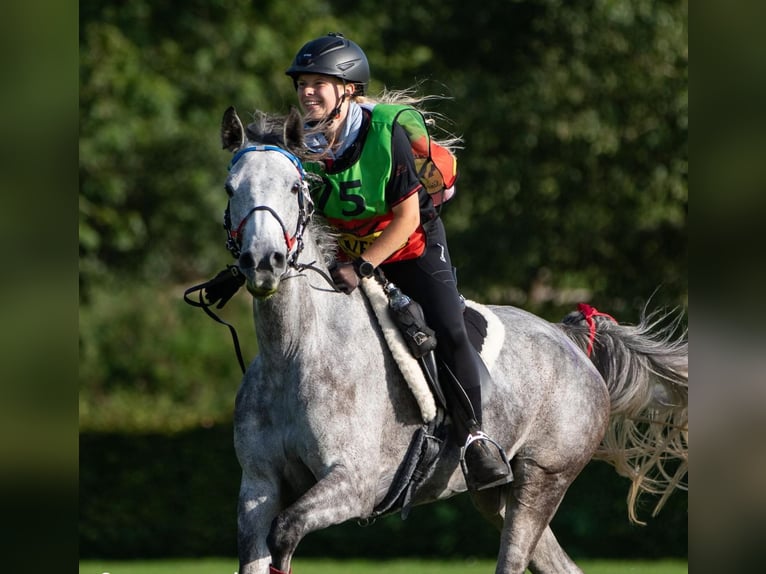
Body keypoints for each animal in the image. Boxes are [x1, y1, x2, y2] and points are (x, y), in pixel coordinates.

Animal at [218, 104, 688, 574]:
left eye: (295, 186)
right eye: (230, 187)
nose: (263, 262)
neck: (294, 350)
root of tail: (567, 339)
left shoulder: (354, 484)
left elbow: (285, 531)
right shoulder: (258, 488)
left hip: (542, 478)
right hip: (496, 496)